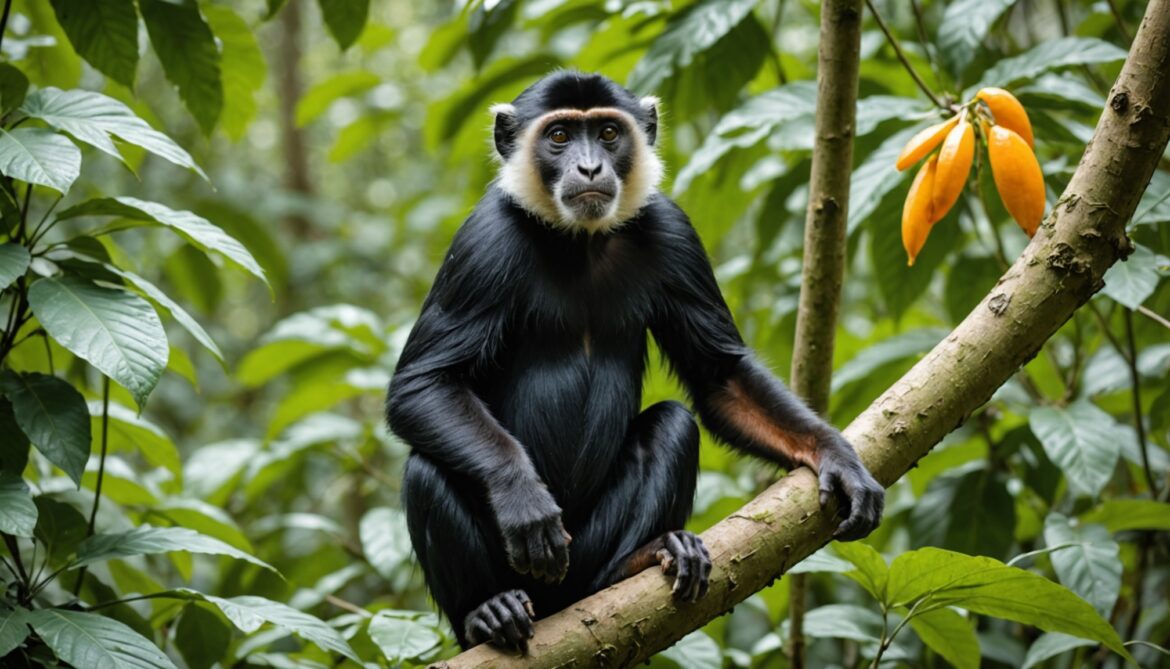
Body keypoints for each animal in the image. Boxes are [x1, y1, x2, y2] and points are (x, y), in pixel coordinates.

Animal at [386, 71, 884, 653]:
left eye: (607, 133)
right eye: (559, 137)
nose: (589, 168)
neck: (579, 243)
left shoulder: (675, 232)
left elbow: (718, 375)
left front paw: (837, 457)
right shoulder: (482, 243)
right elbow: (423, 384)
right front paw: (523, 498)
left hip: (584, 560)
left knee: (673, 425)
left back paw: (639, 562)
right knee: (425, 467)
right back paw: (489, 612)